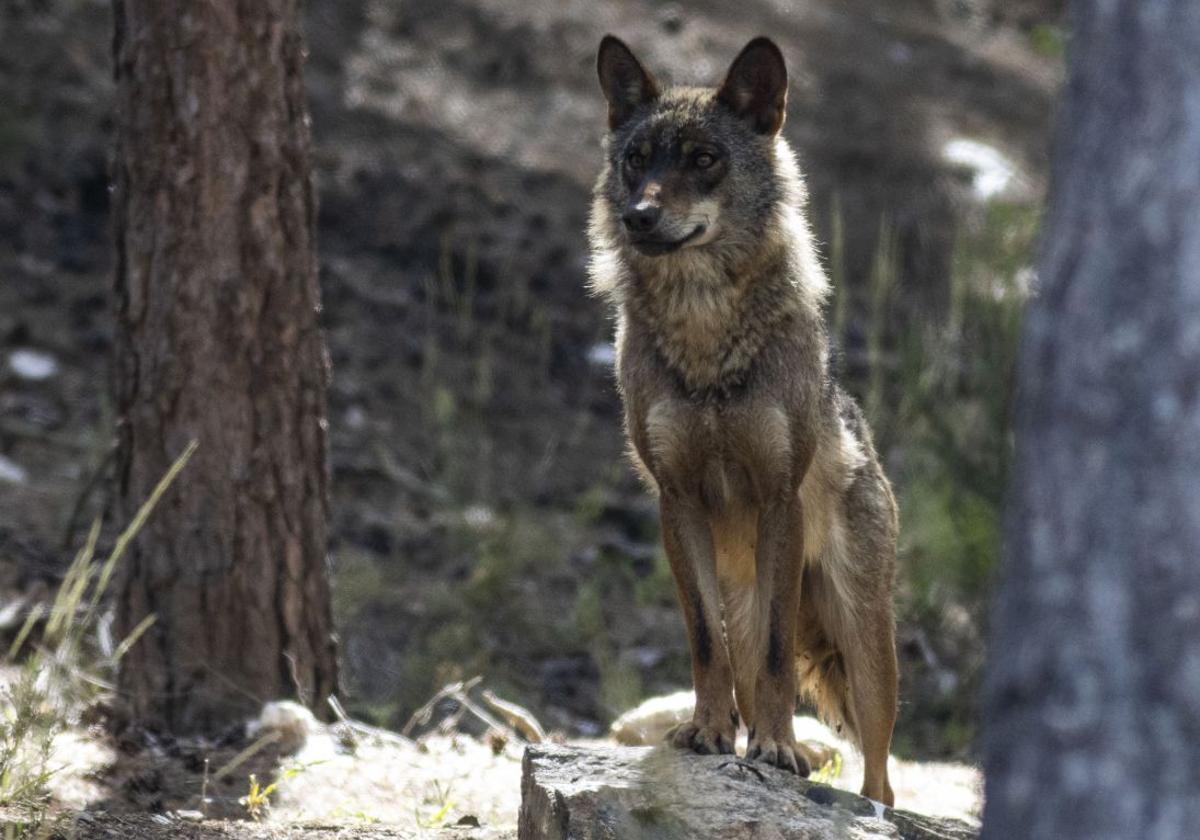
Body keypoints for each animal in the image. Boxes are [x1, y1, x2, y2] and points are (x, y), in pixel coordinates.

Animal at [590, 34, 902, 806]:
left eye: (704, 158)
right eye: (638, 158)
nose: (640, 217)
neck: (705, 336)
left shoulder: (778, 498)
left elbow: (774, 655)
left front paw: (778, 748)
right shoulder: (677, 503)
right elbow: (708, 644)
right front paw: (708, 733)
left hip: (866, 645)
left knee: (880, 778)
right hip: (744, 585)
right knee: (739, 652)